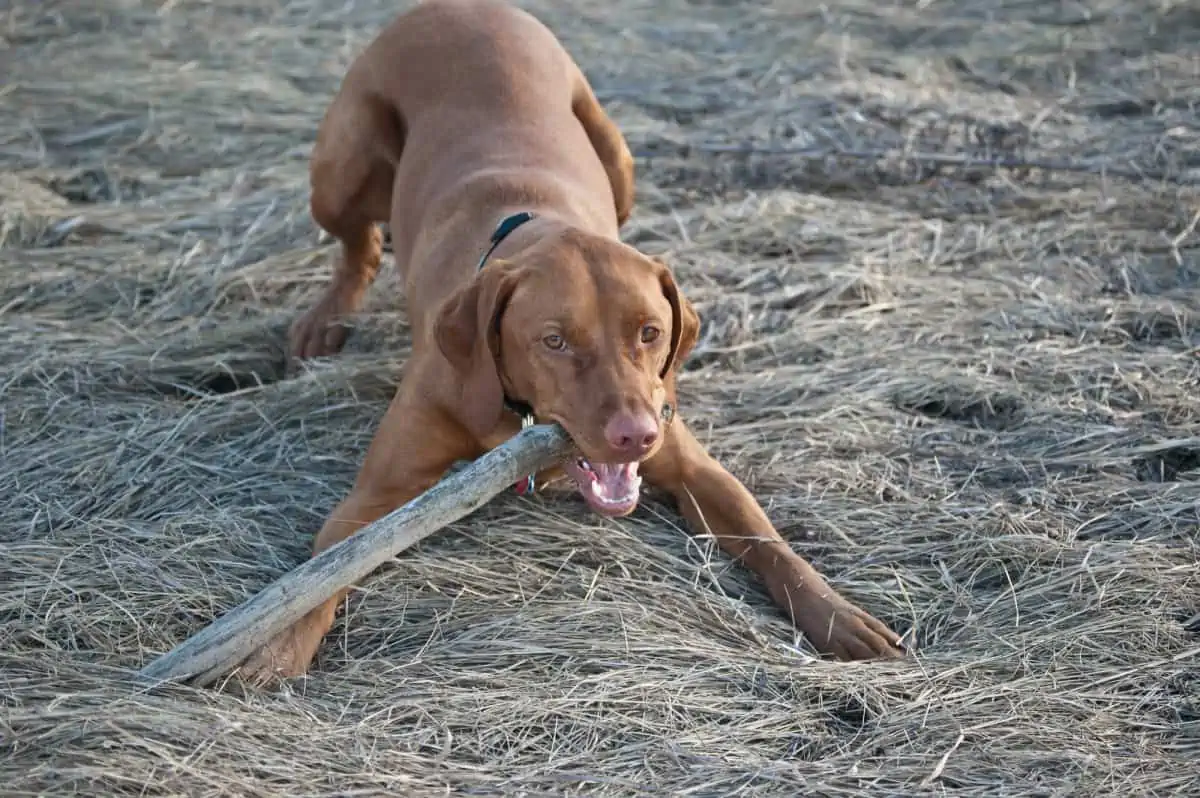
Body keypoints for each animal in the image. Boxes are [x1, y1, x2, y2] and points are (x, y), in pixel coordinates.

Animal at [238, 0, 902, 681]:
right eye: (554, 342)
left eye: (650, 332)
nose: (636, 435)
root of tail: (453, 7)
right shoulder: (378, 495)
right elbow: (312, 585)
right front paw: (274, 654)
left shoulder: (693, 465)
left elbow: (767, 539)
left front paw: (839, 615)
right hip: (339, 170)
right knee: (359, 243)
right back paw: (326, 318)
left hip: (617, 155)